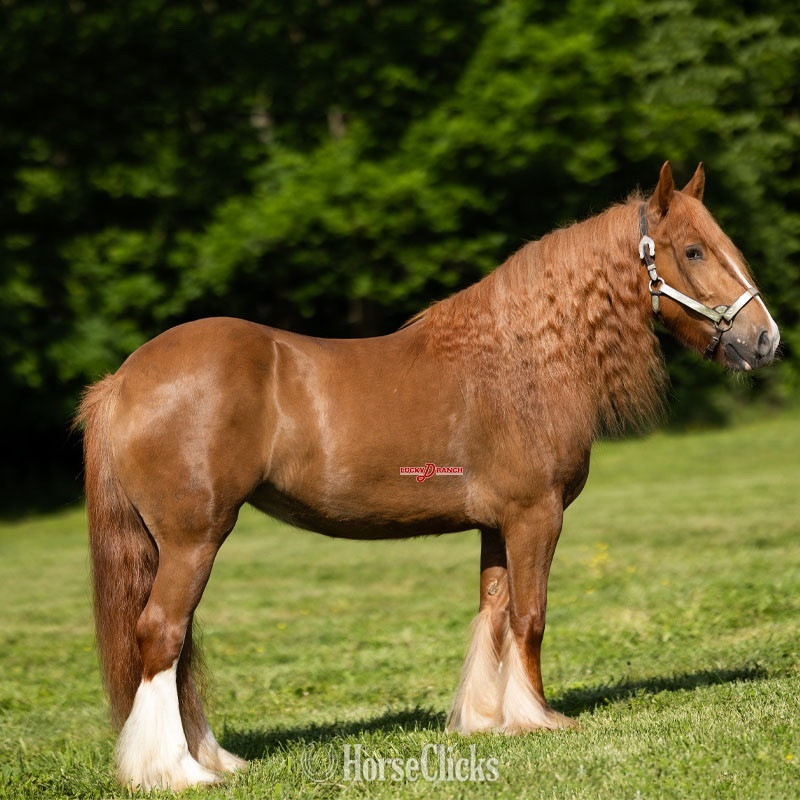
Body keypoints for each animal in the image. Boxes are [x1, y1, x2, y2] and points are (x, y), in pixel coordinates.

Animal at [76, 162, 779, 790]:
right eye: (692, 250)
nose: (766, 340)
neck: (521, 361)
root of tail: (124, 378)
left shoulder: (497, 526)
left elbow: (495, 612)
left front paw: (489, 720)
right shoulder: (536, 517)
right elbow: (531, 616)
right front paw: (540, 718)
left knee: (179, 646)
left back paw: (214, 760)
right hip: (193, 540)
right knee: (162, 634)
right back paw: (175, 771)